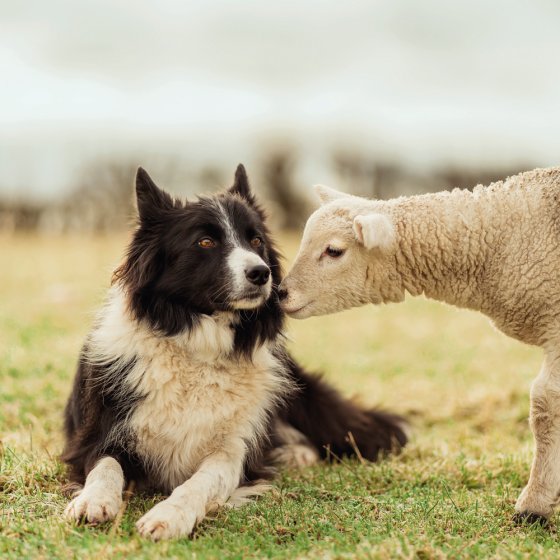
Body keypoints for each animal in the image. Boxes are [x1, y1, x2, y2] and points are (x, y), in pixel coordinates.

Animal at [61, 164, 406, 540]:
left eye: (255, 241)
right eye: (205, 241)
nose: (261, 273)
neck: (198, 347)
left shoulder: (234, 451)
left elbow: (201, 481)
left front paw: (168, 516)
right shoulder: (98, 435)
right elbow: (105, 467)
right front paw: (93, 501)